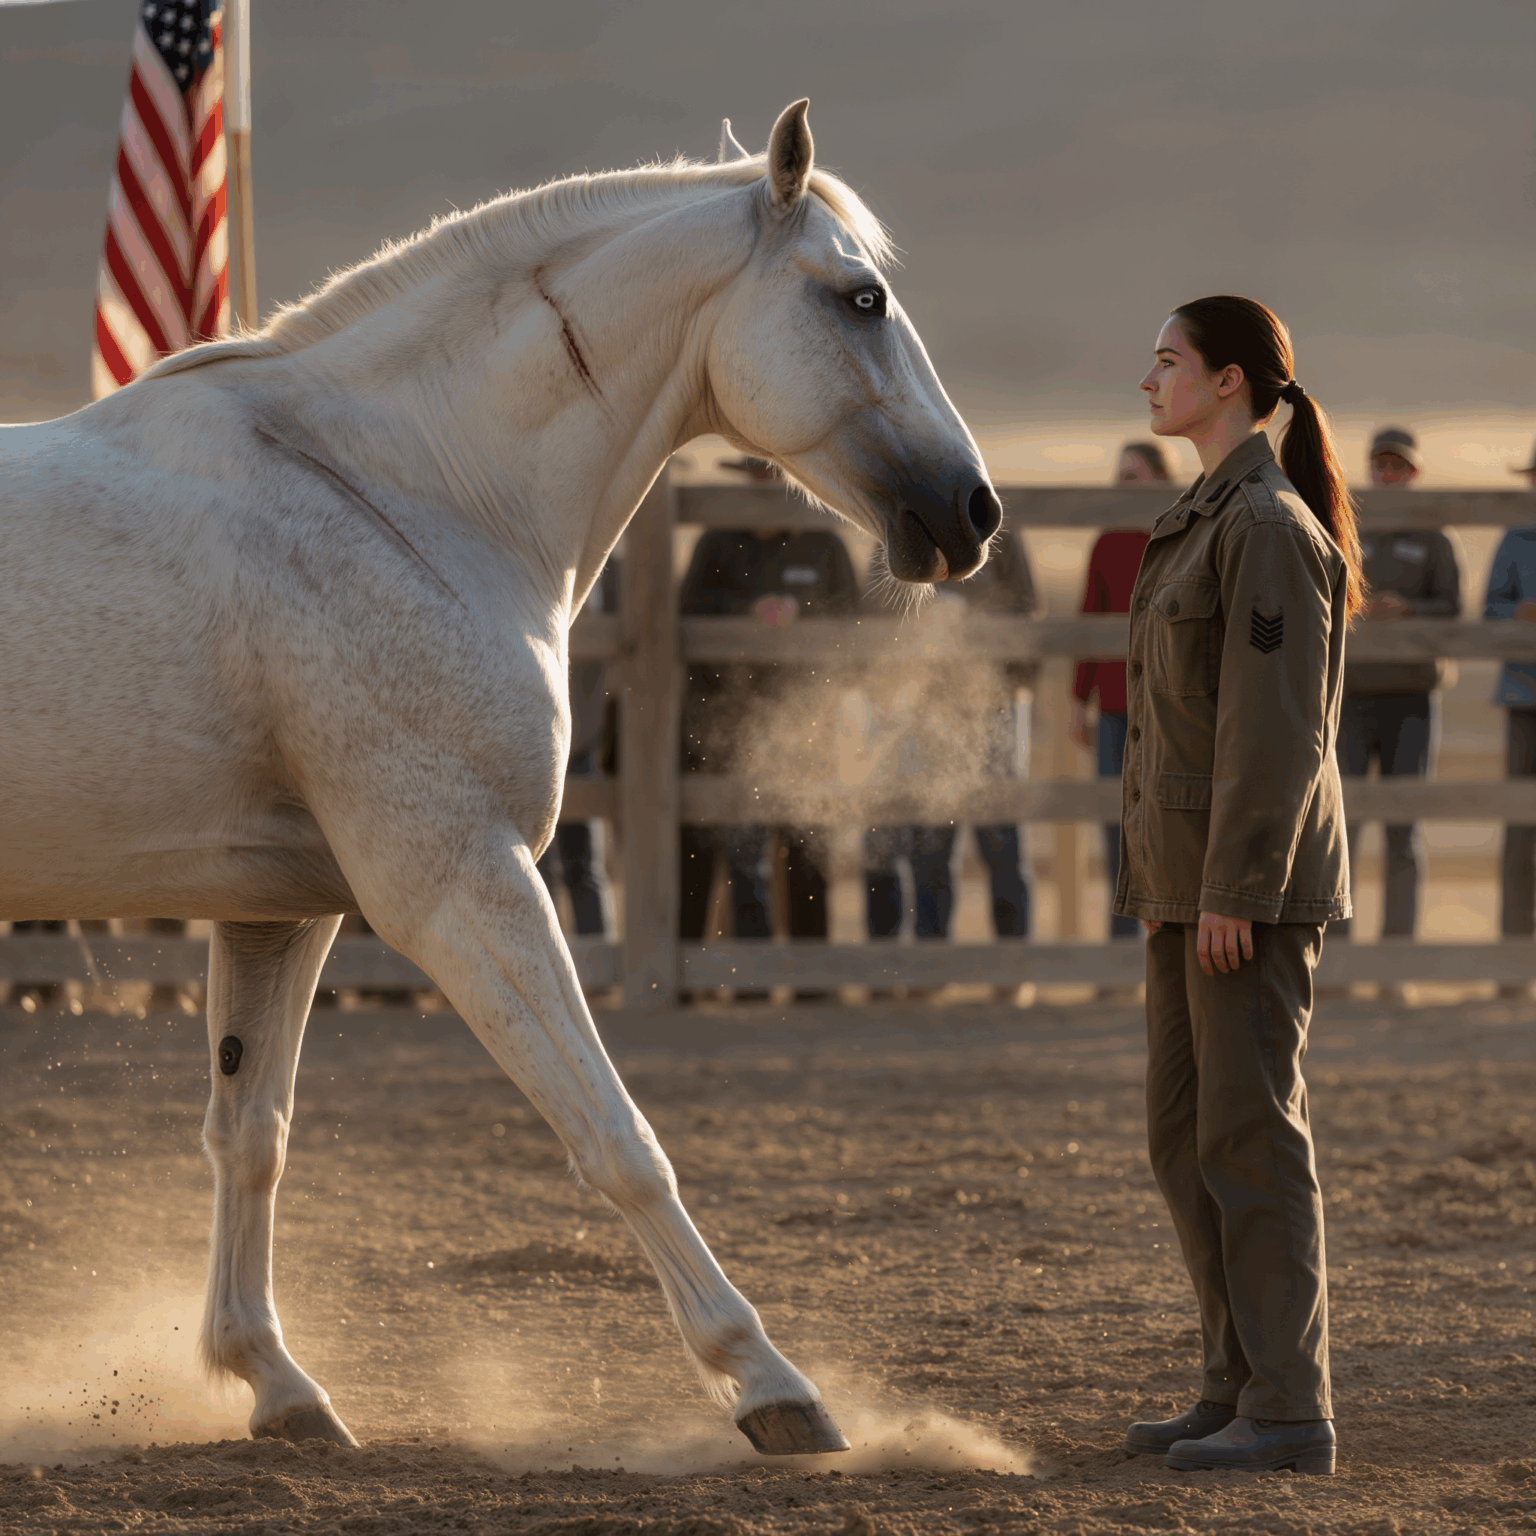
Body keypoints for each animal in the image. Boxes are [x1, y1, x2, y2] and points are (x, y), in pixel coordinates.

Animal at [0, 101, 1002, 1455]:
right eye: (860, 298)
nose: (973, 509)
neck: (398, 488)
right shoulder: (461, 885)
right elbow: (615, 1135)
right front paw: (769, 1384)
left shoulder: (282, 913)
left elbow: (251, 1135)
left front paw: (275, 1382)